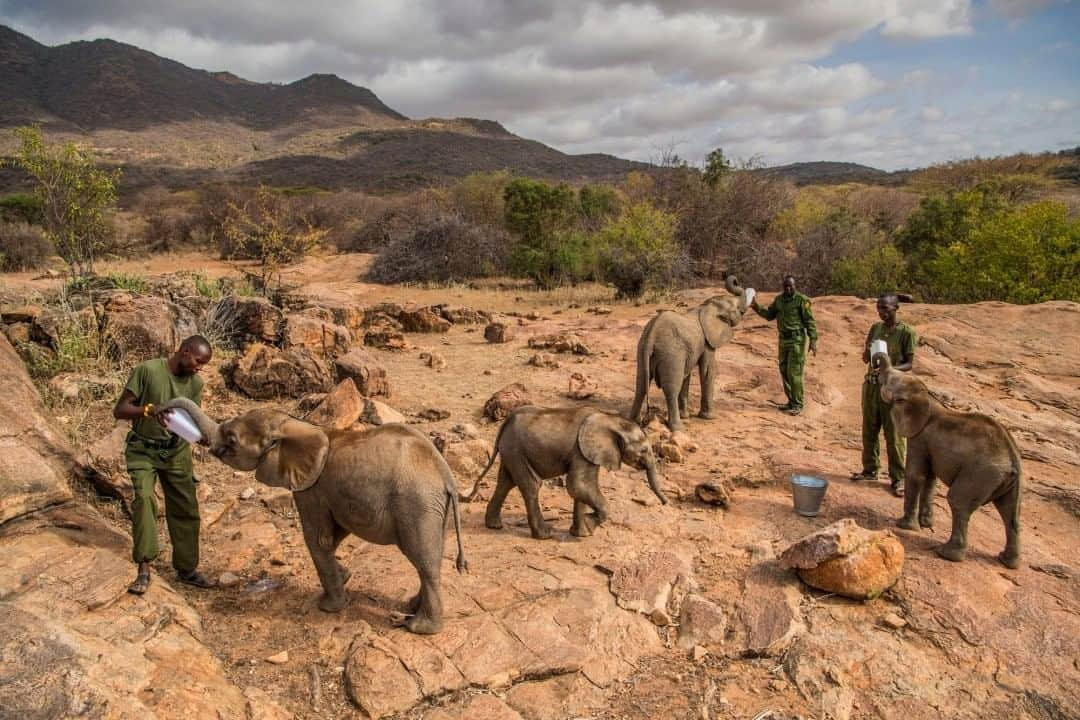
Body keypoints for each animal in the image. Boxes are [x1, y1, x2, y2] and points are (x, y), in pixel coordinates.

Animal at [462, 405, 665, 539]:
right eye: (644, 450)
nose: (665, 503)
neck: (610, 418)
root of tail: (504, 424)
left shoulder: (587, 453)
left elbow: (581, 489)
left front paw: (581, 534)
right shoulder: (581, 450)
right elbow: (578, 486)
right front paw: (589, 526)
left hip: (511, 451)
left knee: (505, 483)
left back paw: (494, 526)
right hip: (516, 450)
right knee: (531, 485)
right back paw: (544, 535)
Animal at [872, 354, 1023, 569]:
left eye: (887, 382)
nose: (875, 365)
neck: (928, 397)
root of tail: (1012, 460)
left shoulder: (920, 437)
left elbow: (916, 475)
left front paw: (904, 526)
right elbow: (930, 479)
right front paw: (925, 524)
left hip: (981, 474)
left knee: (958, 501)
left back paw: (946, 553)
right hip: (1009, 482)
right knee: (1011, 513)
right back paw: (1007, 561)